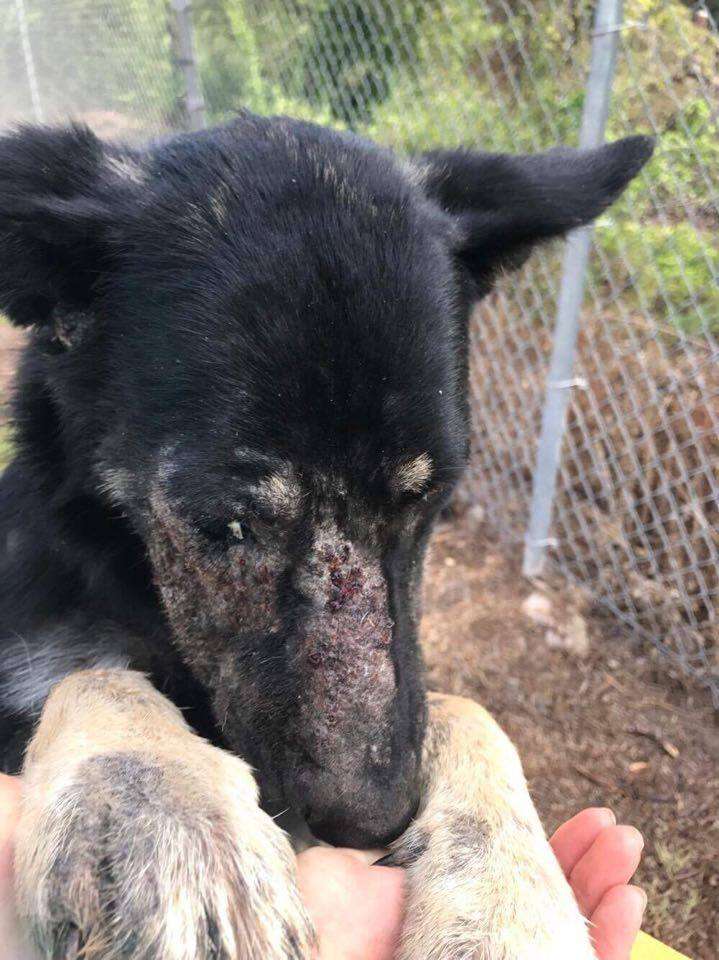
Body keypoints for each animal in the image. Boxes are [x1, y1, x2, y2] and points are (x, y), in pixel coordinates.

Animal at [0, 116, 652, 956]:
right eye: (226, 523)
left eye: (432, 499)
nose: (371, 823)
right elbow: (95, 678)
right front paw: (169, 813)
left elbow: (461, 707)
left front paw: (508, 900)